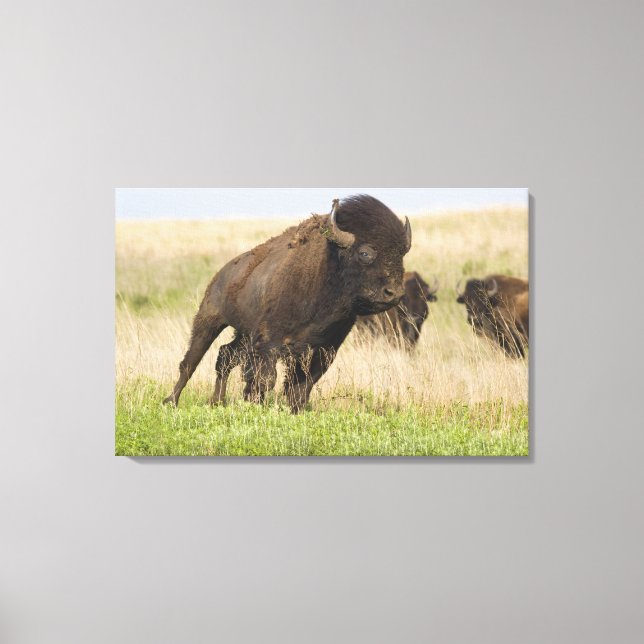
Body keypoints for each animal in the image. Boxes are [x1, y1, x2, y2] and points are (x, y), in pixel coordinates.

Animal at [163, 195, 412, 413]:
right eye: (365, 253)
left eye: (401, 254)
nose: (394, 293)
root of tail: (222, 273)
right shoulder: (269, 342)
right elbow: (265, 379)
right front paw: (257, 406)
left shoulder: (324, 350)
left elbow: (302, 386)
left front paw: (292, 410)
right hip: (209, 319)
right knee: (190, 362)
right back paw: (171, 402)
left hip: (243, 335)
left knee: (225, 356)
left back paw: (216, 402)